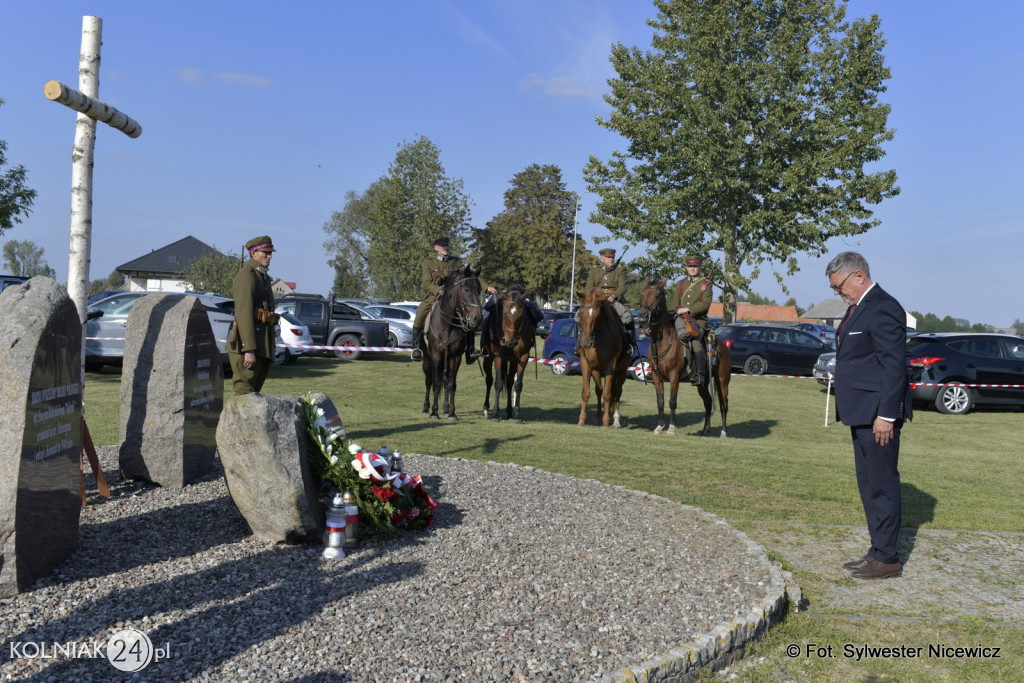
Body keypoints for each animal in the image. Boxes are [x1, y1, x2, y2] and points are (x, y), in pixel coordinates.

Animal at [417, 264, 481, 419]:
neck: (448, 325)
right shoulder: (435, 355)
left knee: (446, 380)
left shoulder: (456, 357)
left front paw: (452, 412)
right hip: (427, 359)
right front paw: (434, 412)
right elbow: (435, 383)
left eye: (479, 290)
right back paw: (426, 407)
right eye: (466, 289)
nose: (478, 318)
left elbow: (451, 383)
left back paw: (446, 408)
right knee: (429, 380)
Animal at [483, 286, 540, 421]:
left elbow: (517, 384)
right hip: (488, 358)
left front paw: (517, 414)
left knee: (509, 382)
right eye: (504, 313)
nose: (509, 341)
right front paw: (495, 414)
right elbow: (498, 383)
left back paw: (509, 411)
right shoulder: (498, 356)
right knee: (489, 380)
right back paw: (486, 408)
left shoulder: (522, 357)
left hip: (512, 360)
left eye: (521, 314)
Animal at [577, 286, 630, 428]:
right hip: (597, 371)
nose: (586, 342)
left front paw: (606, 421)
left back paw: (616, 420)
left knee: (617, 393)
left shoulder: (611, 366)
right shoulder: (586, 364)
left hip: (621, 371)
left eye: (598, 315)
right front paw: (582, 420)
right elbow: (586, 392)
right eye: (581, 312)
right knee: (599, 390)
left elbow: (608, 394)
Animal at [634, 278, 733, 436]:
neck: (663, 342)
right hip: (703, 383)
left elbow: (672, 402)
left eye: (656, 295)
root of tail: (723, 346)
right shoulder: (656, 377)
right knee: (708, 402)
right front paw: (659, 427)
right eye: (643, 294)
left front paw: (671, 428)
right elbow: (660, 402)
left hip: (722, 380)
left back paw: (723, 432)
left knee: (724, 404)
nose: (642, 316)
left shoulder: (674, 376)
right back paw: (705, 429)